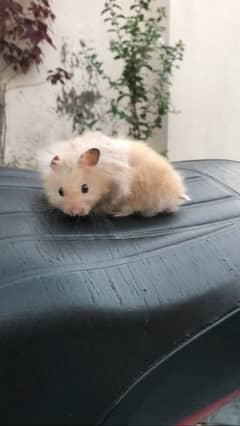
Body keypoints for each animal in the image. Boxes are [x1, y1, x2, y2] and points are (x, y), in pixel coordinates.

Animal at [38, 131, 189, 218]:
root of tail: (178, 192)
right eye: (60, 192)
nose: (74, 212)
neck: (103, 177)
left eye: (85, 189)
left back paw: (116, 214)